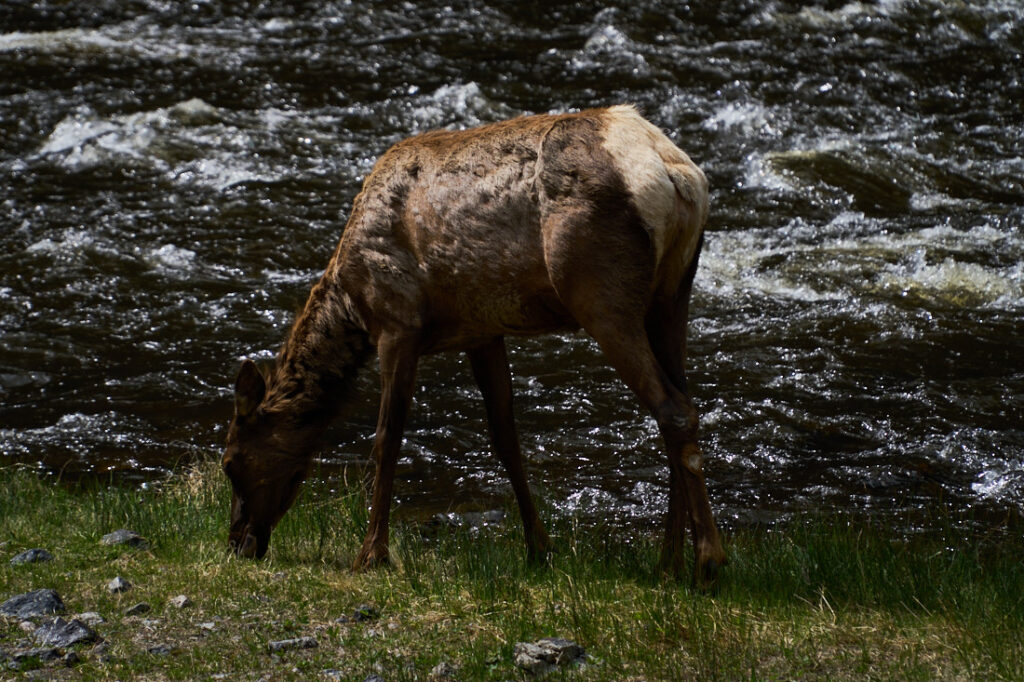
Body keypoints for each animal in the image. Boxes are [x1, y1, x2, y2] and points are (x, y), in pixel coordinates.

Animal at [221, 104, 728, 587]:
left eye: (230, 462)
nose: (237, 544)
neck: (351, 303)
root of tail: (678, 176)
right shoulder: (483, 332)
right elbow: (506, 439)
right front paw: (538, 549)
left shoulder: (398, 324)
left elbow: (387, 440)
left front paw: (371, 555)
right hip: (671, 295)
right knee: (682, 407)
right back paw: (668, 564)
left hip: (601, 295)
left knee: (672, 408)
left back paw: (707, 564)